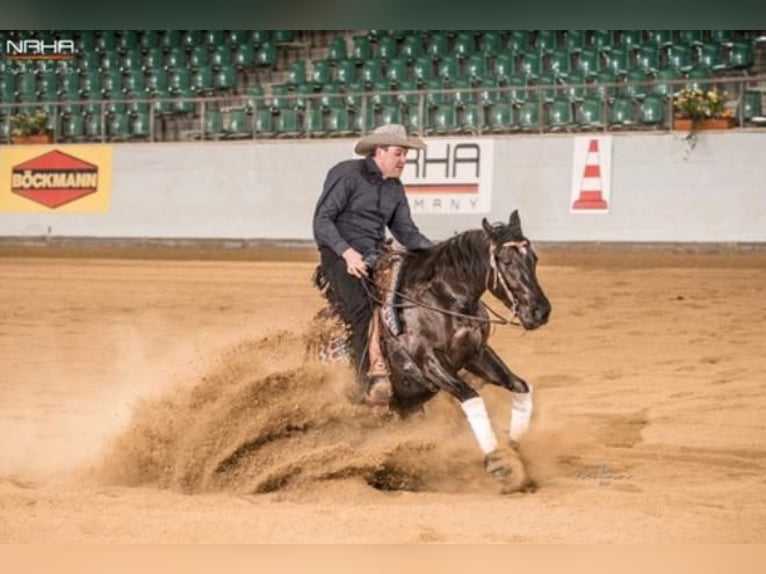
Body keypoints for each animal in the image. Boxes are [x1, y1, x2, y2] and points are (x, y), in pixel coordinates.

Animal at [310, 212, 552, 496]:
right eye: (506, 260)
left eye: (533, 258)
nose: (540, 311)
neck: (443, 299)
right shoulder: (428, 362)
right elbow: (471, 396)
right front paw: (499, 463)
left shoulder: (476, 354)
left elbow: (519, 385)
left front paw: (515, 452)